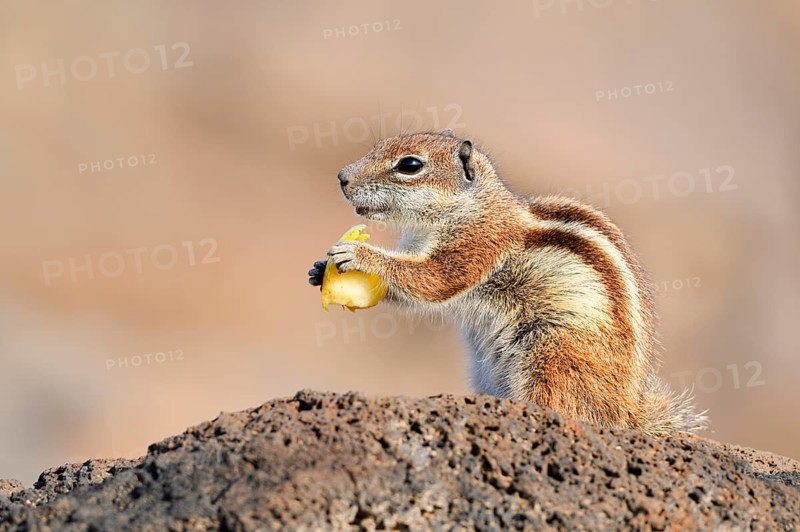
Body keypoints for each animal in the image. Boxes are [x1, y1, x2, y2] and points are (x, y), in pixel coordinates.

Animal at [308, 130, 708, 436]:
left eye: (409, 165)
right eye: (378, 146)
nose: (342, 177)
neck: (470, 206)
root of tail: (626, 411)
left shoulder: (477, 244)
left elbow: (434, 280)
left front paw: (360, 255)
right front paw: (317, 269)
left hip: (551, 357)